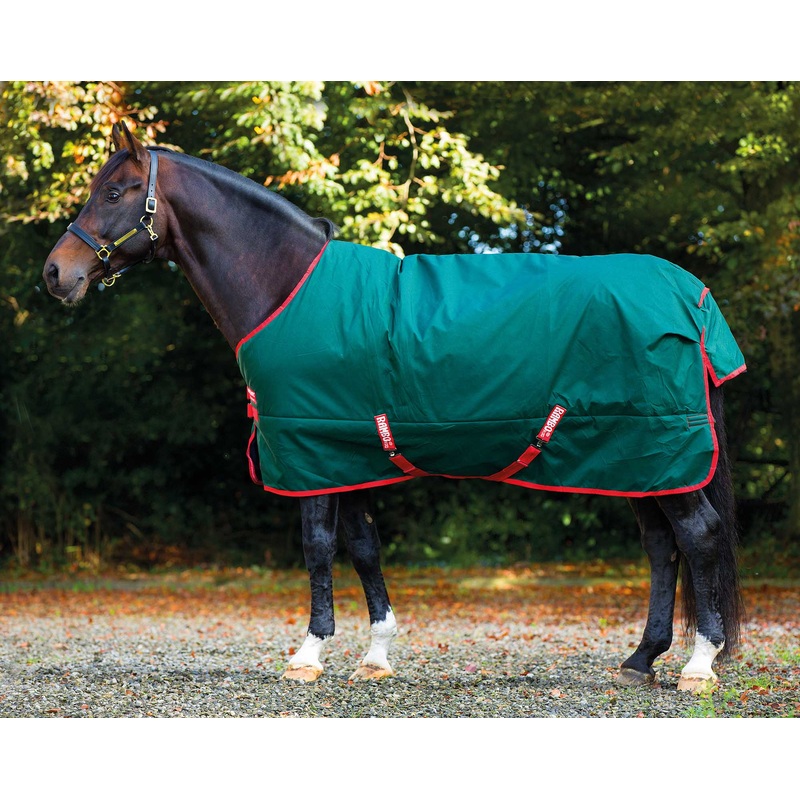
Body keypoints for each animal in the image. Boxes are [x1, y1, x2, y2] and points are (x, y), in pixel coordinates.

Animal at [42, 122, 746, 693]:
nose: (55, 273)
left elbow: (318, 545)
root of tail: (693, 296)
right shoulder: (343, 450)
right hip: (640, 459)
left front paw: (308, 654)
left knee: (700, 536)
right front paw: (376, 655)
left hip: (660, 448)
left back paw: (698, 665)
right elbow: (363, 546)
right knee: (662, 547)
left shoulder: (309, 448)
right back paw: (640, 659)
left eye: (115, 192)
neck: (286, 286)